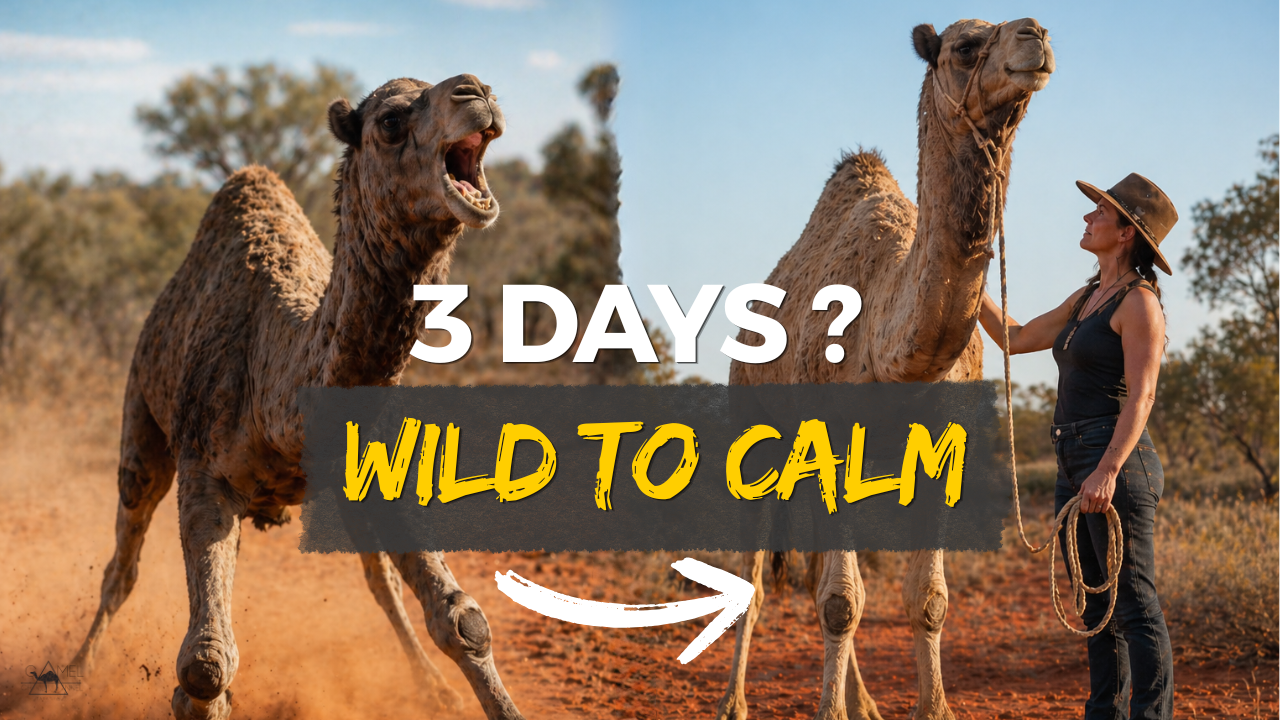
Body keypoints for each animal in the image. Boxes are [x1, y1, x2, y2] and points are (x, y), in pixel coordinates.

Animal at [70, 74, 524, 720]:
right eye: (390, 121)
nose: (476, 91)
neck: (278, 392)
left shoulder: (375, 465)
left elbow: (463, 619)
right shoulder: (203, 469)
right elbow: (205, 663)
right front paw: (190, 692)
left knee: (379, 580)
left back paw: (430, 687)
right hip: (141, 422)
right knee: (122, 563)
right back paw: (75, 670)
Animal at [716, 18, 1054, 720]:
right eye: (963, 46)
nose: (1034, 35)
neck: (893, 351)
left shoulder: (941, 452)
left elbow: (924, 599)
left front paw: (934, 707)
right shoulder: (832, 439)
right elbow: (841, 602)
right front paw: (829, 712)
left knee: (814, 575)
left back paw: (867, 702)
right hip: (755, 437)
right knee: (756, 582)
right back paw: (734, 703)